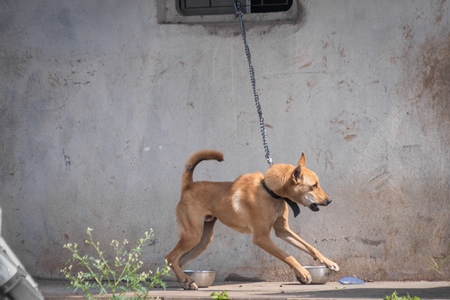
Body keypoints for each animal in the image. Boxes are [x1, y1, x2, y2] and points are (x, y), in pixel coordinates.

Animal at [167, 151, 340, 290]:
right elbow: (287, 255)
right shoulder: (262, 238)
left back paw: (186, 281)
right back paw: (185, 280)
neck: (270, 192)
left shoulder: (283, 231)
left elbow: (310, 247)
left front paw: (328, 262)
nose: (329, 201)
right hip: (193, 236)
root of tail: (188, 186)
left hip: (202, 241)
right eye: (314, 186)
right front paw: (303, 272)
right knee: (170, 258)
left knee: (178, 262)